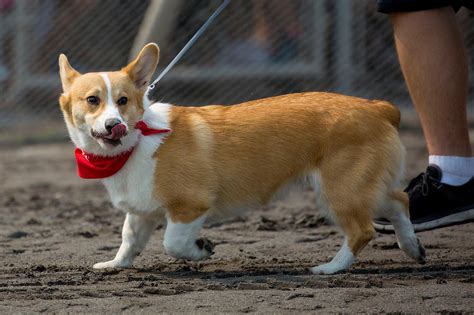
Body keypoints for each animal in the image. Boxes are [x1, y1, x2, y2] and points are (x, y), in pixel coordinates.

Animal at [58, 43, 426, 276]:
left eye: (122, 101)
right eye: (92, 100)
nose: (114, 125)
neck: (134, 143)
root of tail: (378, 108)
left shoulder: (190, 206)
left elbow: (172, 242)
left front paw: (201, 249)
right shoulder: (141, 210)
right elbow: (129, 239)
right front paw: (114, 265)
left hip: (339, 190)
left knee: (362, 230)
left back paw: (330, 268)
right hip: (365, 186)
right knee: (399, 200)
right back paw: (412, 248)